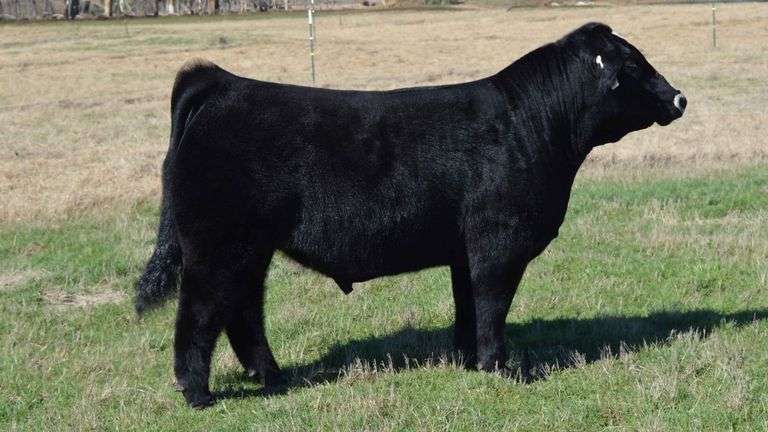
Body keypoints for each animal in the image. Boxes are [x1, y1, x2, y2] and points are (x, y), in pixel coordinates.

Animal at [135, 22, 686, 408]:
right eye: (634, 65)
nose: (679, 97)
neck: (533, 125)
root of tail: (222, 83)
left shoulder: (465, 251)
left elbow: (468, 306)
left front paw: (470, 361)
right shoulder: (498, 244)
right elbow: (493, 304)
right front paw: (502, 367)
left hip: (250, 249)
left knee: (243, 309)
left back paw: (272, 377)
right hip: (217, 247)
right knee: (201, 312)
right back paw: (198, 393)